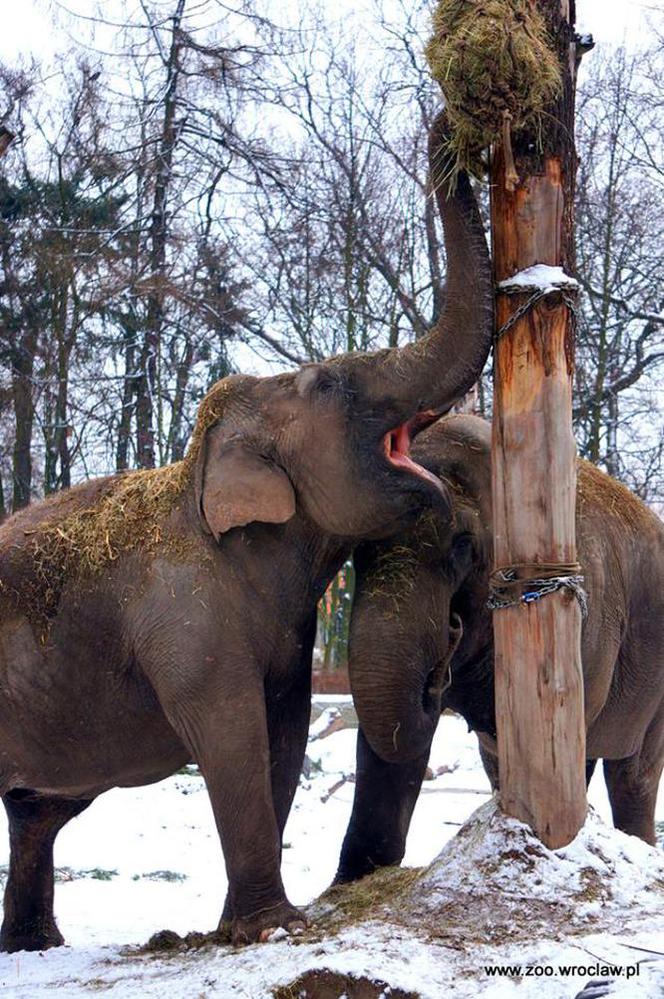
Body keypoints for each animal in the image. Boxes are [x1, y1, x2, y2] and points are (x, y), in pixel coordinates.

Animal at [0, 113, 492, 948]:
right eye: (330, 383)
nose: (454, 122)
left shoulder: (290, 642)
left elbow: (282, 738)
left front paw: (240, 925)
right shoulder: (184, 617)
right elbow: (230, 733)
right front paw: (274, 926)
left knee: (36, 812)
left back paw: (35, 945)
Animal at [338, 414, 664, 884]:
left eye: (462, 544)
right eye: (353, 551)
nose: (451, 630)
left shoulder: (584, 621)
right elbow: (389, 742)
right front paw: (349, 884)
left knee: (633, 771)